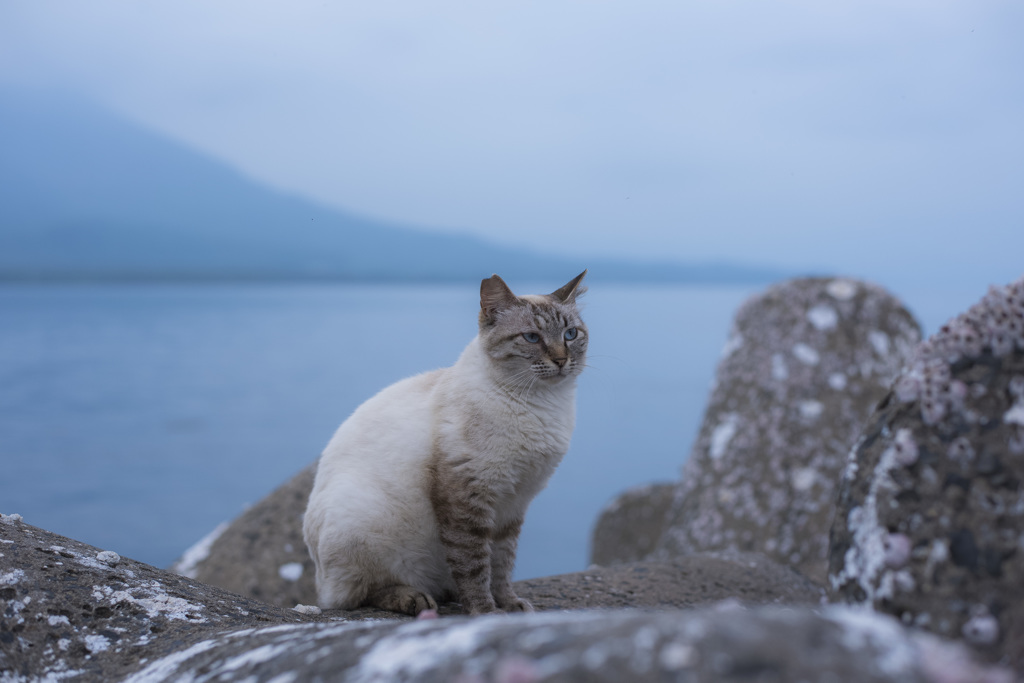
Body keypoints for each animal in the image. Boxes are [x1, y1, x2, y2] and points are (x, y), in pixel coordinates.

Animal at [299, 270, 589, 614]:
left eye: (570, 334)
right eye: (532, 338)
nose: (561, 360)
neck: (543, 404)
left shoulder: (513, 502)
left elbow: (502, 564)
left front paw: (509, 605)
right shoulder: (468, 493)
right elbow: (474, 565)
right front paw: (485, 611)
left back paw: (447, 594)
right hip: (360, 523)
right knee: (356, 595)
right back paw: (414, 598)